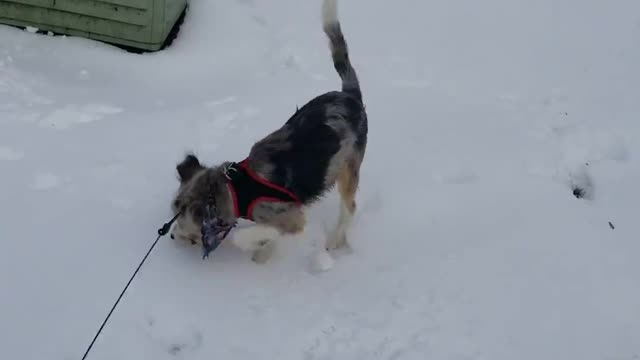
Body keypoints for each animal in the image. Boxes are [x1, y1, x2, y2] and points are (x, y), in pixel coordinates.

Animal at [170, 0, 368, 264]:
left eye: (183, 224)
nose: (171, 236)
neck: (238, 188)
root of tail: (349, 95)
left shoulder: (290, 216)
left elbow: (252, 234)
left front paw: (254, 248)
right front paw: (265, 252)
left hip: (349, 167)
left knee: (350, 207)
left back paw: (335, 239)